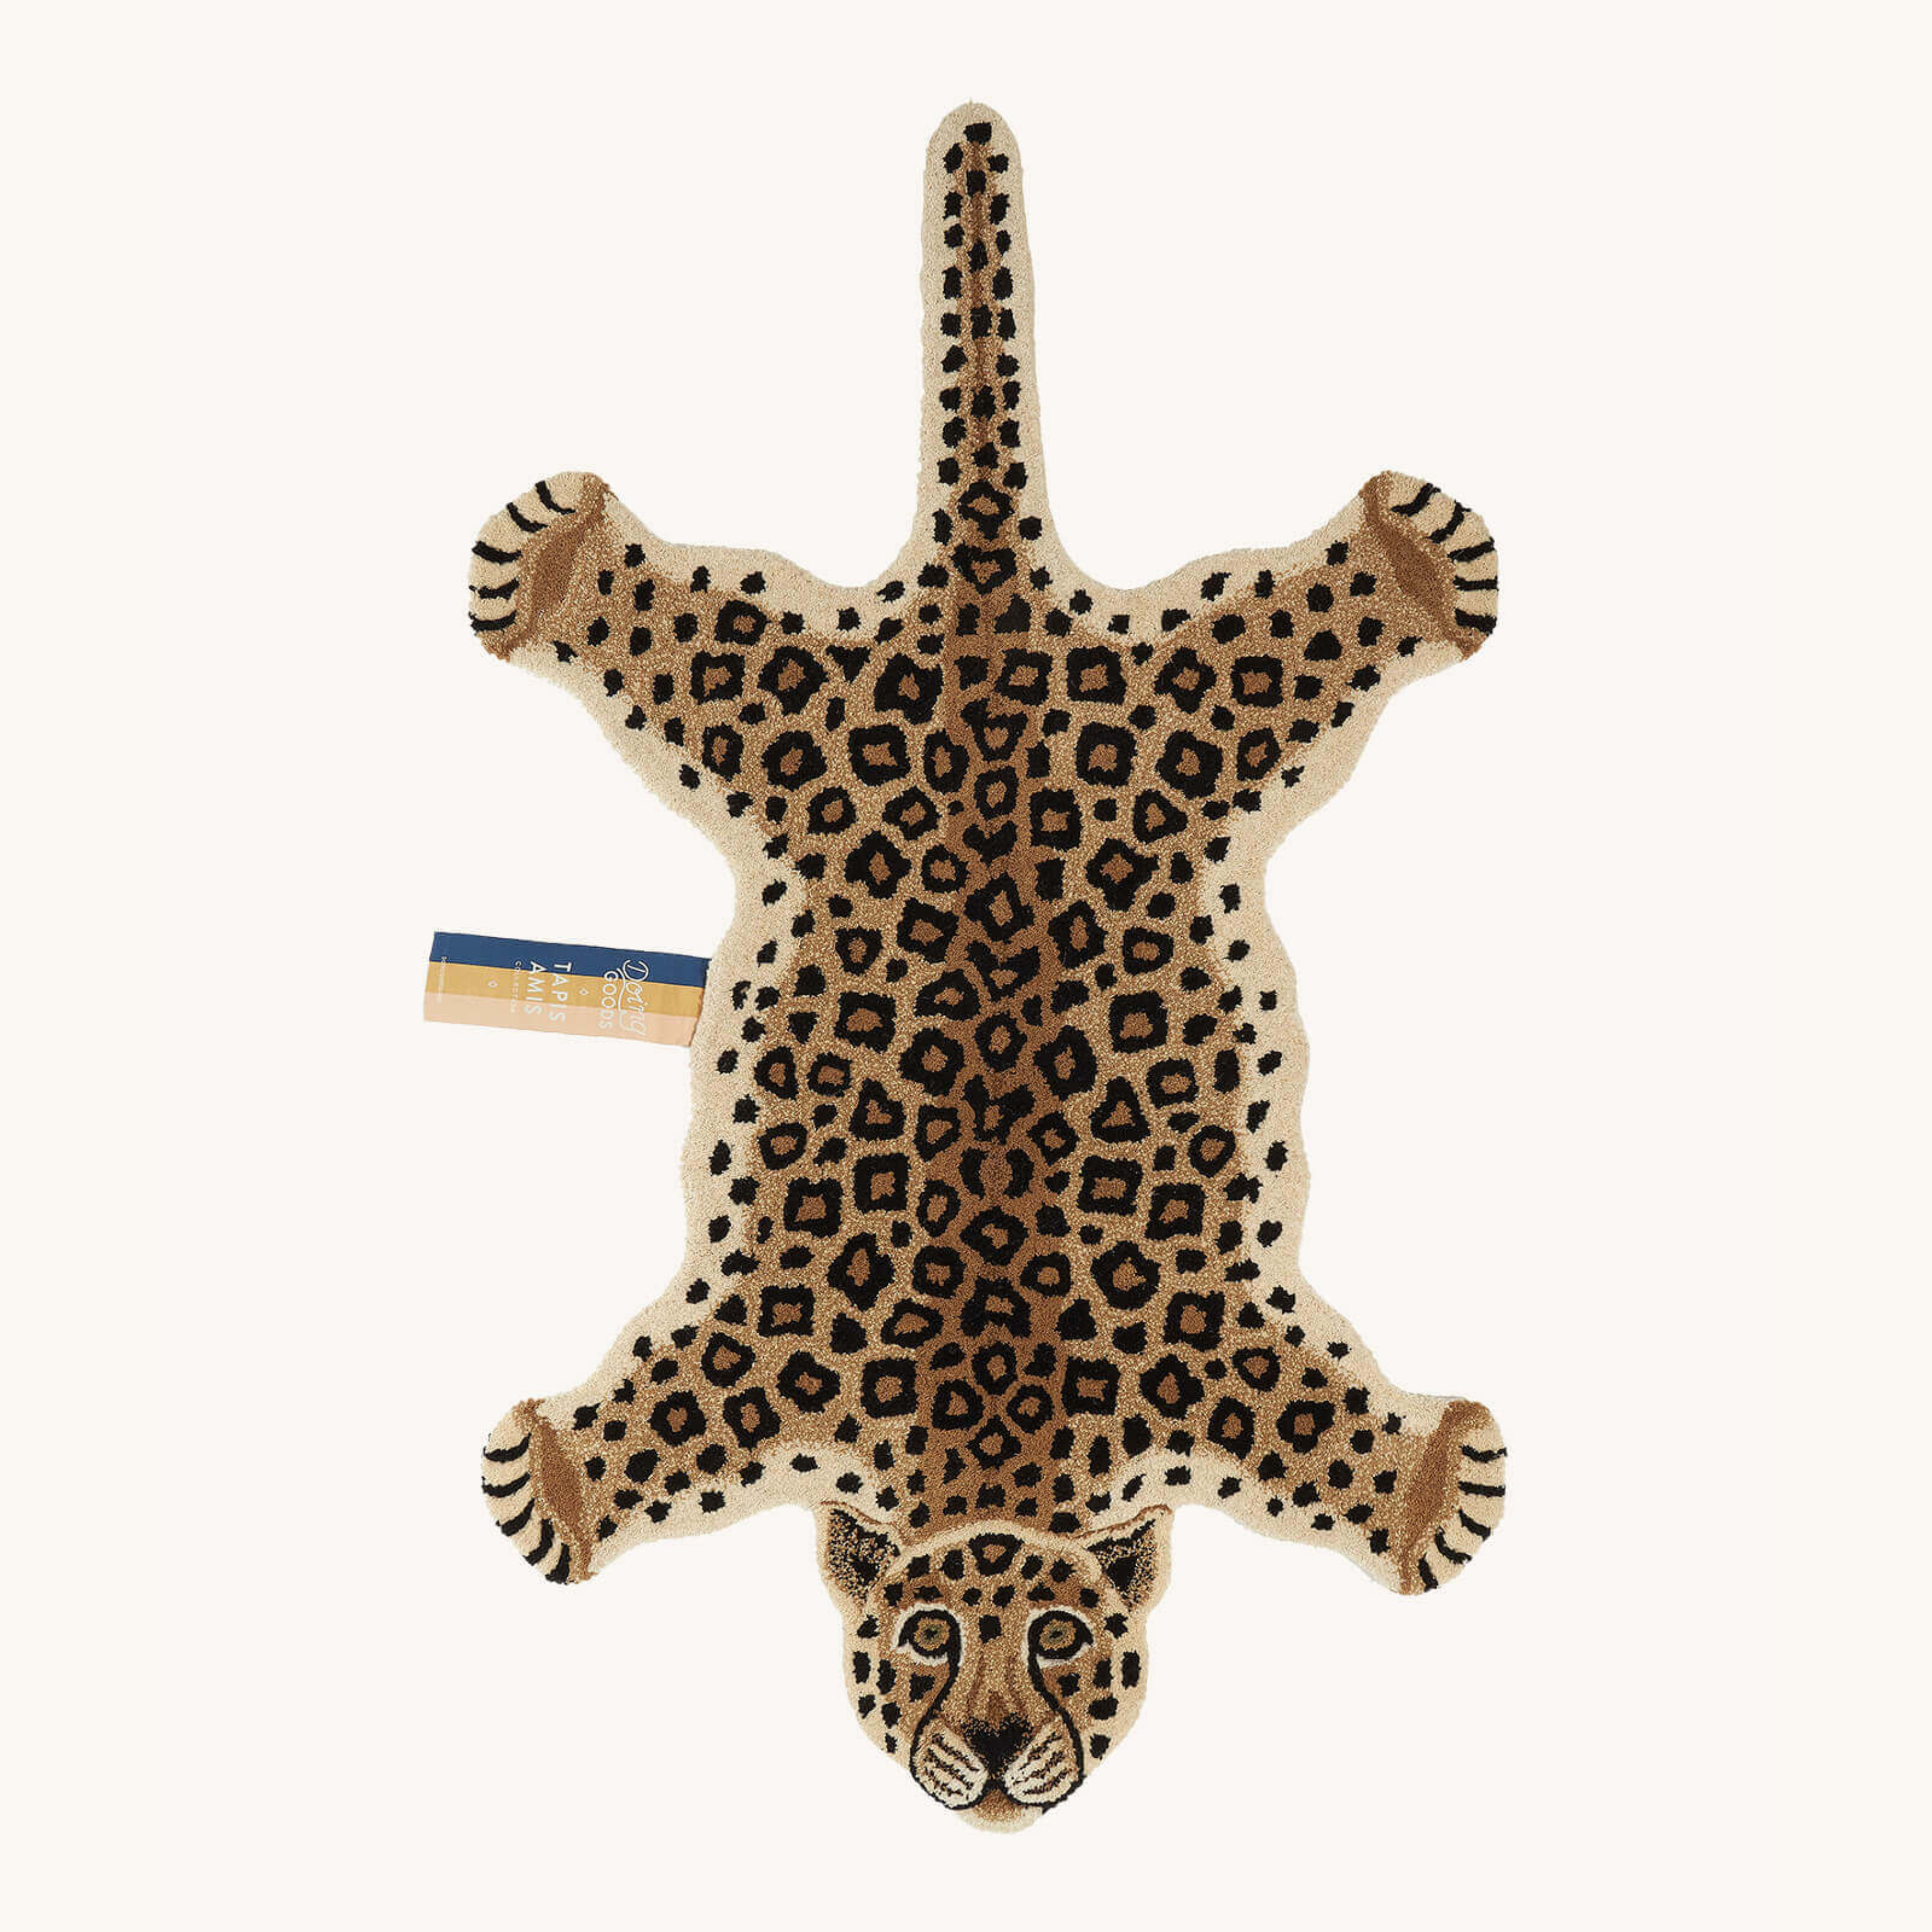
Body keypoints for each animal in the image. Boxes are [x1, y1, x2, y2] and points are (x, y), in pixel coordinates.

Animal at [467, 103, 1507, 1830]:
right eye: (932, 1637)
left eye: (1067, 1641)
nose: (1011, 1751)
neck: (994, 1445)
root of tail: (986, 608)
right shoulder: (766, 1364)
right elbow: (658, 1418)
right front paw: (553, 1476)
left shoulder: (1212, 1363)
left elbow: (1324, 1430)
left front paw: (1434, 1480)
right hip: (800, 708)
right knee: (683, 631)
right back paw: (547, 565)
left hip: (1175, 711)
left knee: (1287, 627)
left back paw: (1414, 558)